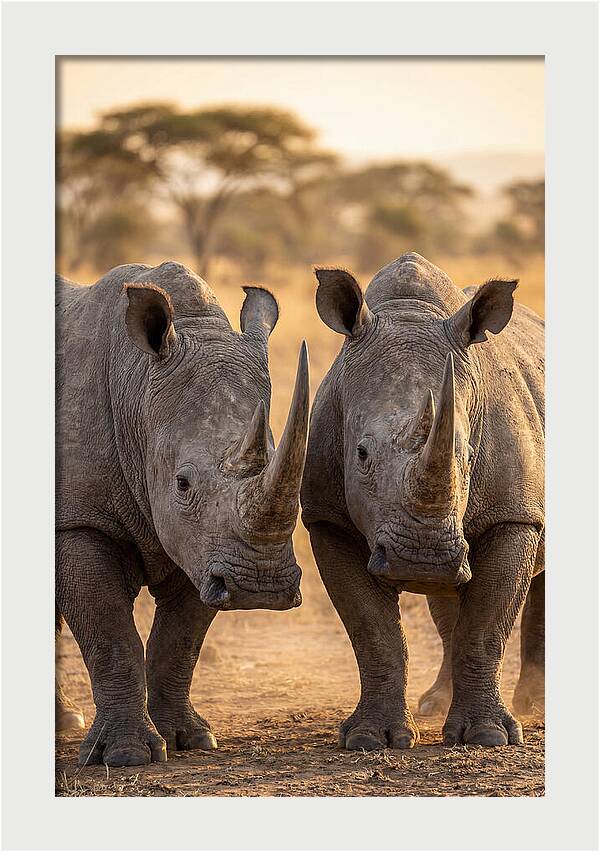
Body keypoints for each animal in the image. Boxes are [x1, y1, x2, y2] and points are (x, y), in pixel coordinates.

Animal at [56, 261, 309, 766]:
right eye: (183, 483)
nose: (261, 587)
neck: (136, 388)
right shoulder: (78, 519)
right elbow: (109, 634)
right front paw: (126, 756)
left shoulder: (205, 545)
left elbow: (179, 640)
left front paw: (189, 739)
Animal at [301, 252, 544, 749]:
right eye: (361, 454)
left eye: (468, 456)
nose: (422, 558)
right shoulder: (327, 519)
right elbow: (373, 632)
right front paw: (371, 739)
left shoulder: (515, 516)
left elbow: (487, 627)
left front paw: (489, 737)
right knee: (449, 600)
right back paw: (435, 703)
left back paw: (535, 706)